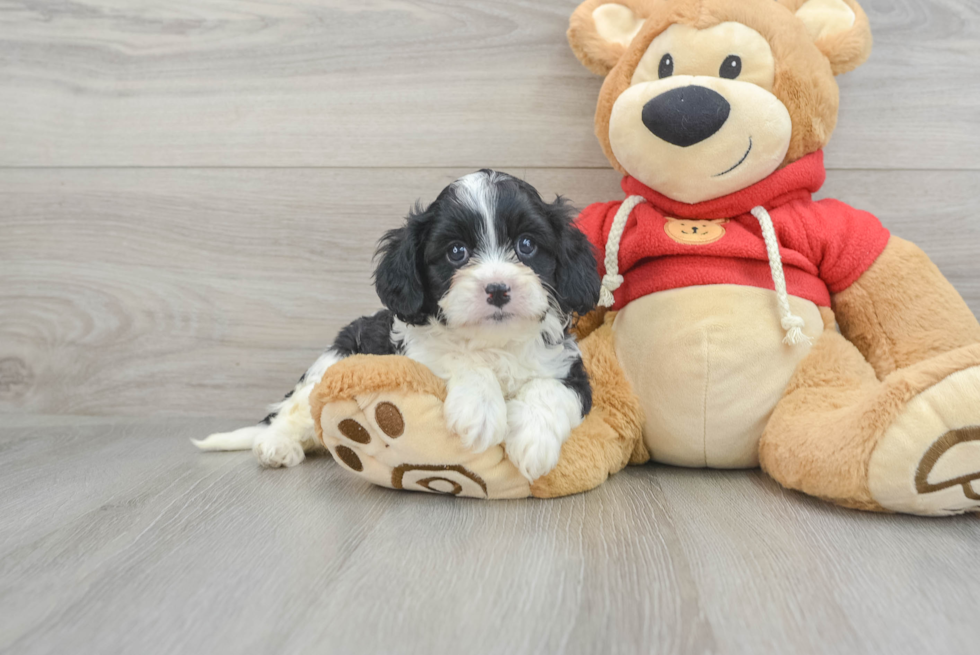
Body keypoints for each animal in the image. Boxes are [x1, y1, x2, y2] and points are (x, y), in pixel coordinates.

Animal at [192, 170, 600, 482]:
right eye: (456, 252)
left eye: (527, 245)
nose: (497, 288)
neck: (493, 342)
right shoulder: (414, 354)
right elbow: (456, 357)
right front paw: (481, 409)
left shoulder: (569, 369)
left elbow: (549, 390)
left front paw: (534, 442)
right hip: (331, 363)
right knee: (293, 413)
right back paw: (276, 445)